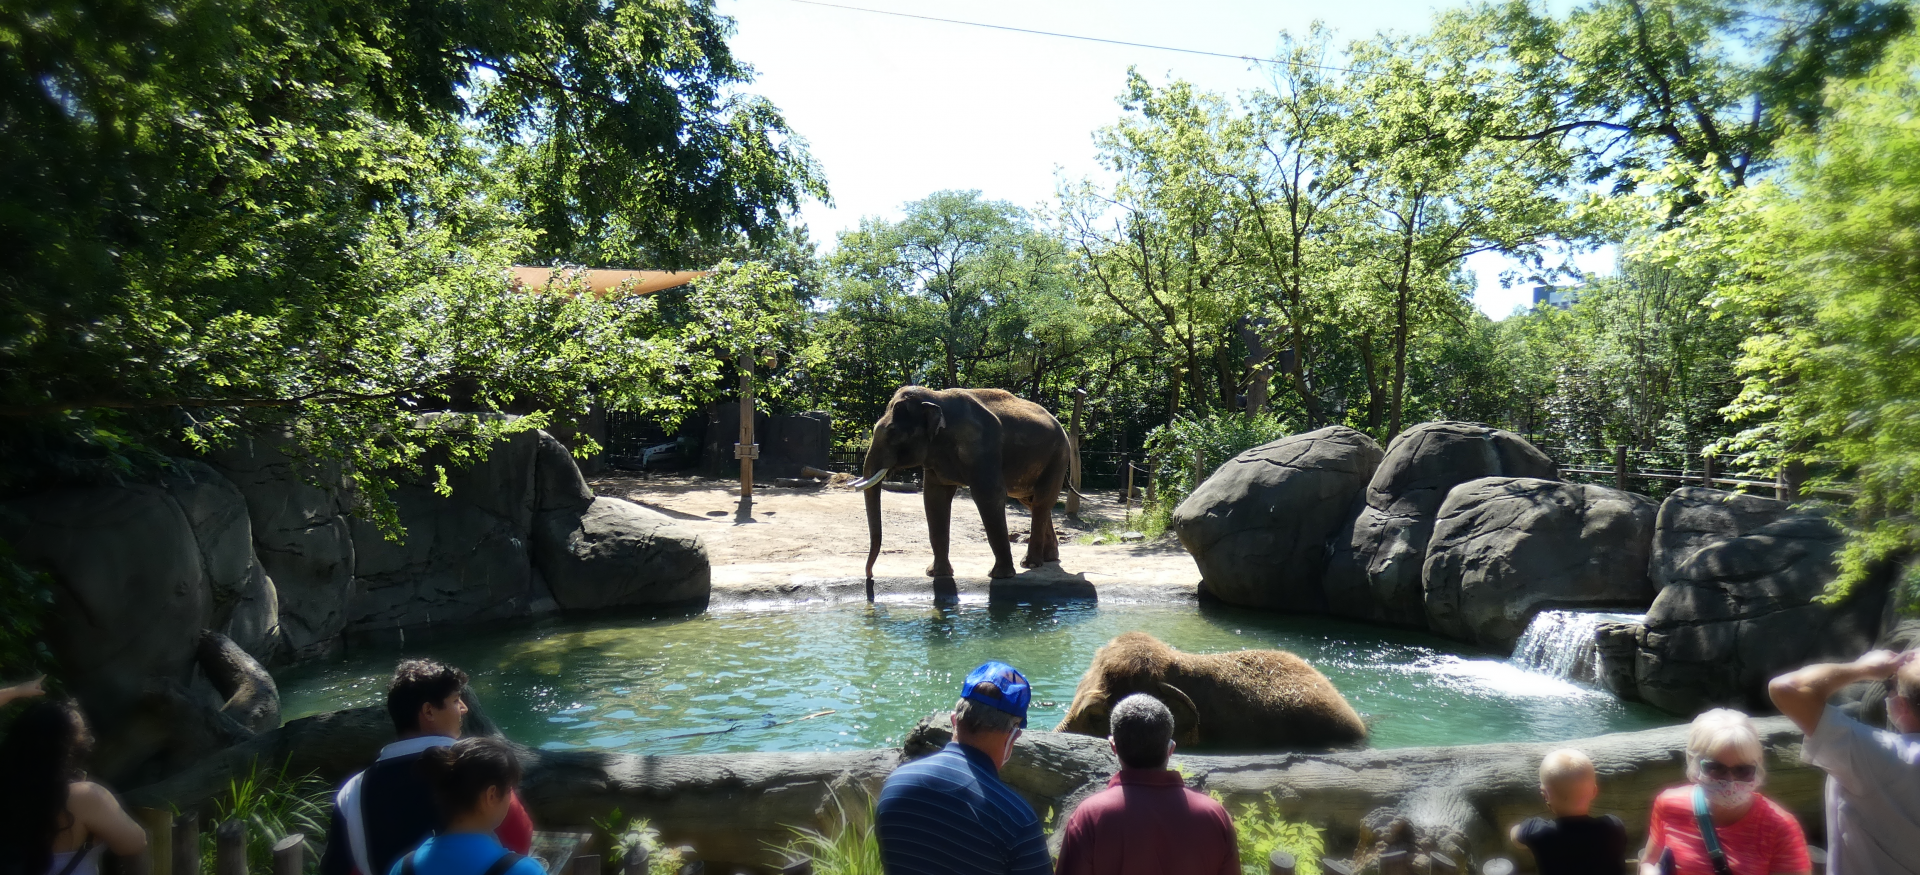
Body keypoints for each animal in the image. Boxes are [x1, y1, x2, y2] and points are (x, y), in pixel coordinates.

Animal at [851, 386, 1072, 580]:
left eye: (892, 432)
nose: (870, 575)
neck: (936, 398)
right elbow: (935, 498)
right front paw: (936, 573)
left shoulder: (982, 446)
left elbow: (989, 495)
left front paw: (1000, 576)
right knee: (1033, 502)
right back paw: (1049, 558)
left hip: (1058, 457)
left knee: (1041, 501)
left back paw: (1030, 563)